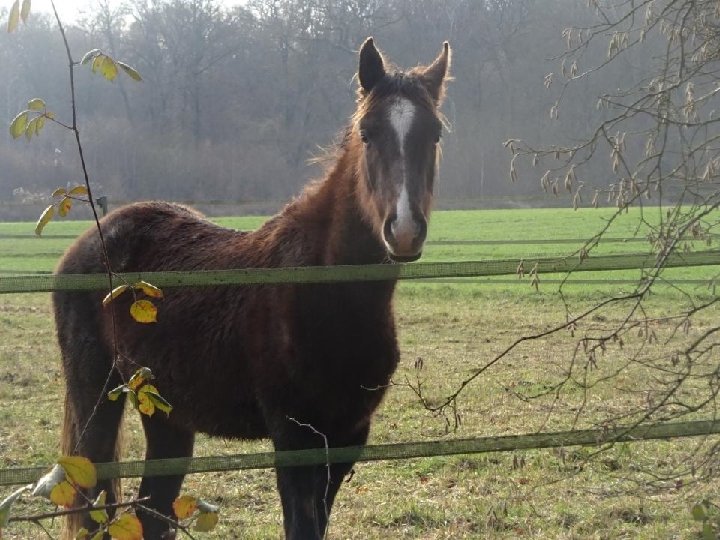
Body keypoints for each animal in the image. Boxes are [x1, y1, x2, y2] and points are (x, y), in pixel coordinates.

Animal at [54, 37, 450, 539]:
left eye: (433, 134)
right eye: (367, 132)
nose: (403, 231)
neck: (326, 296)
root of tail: (87, 242)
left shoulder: (347, 437)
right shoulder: (293, 436)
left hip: (166, 416)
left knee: (151, 512)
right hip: (96, 401)